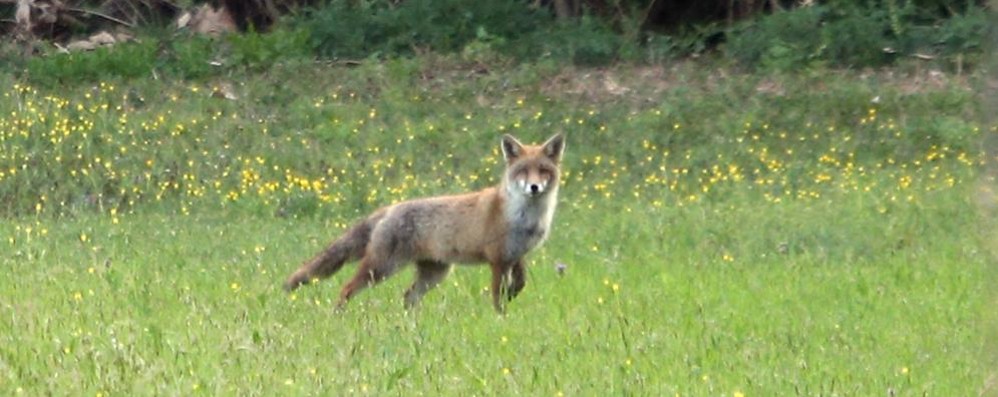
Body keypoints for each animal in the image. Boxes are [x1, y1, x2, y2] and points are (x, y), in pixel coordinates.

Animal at [286, 133, 568, 312]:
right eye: (523, 171)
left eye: (543, 170)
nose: (534, 187)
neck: (523, 218)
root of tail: (389, 208)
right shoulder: (497, 259)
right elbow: (497, 297)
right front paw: (500, 318)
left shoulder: (516, 255)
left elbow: (520, 284)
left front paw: (511, 296)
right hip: (382, 267)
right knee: (346, 288)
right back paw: (338, 316)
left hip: (434, 273)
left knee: (407, 297)